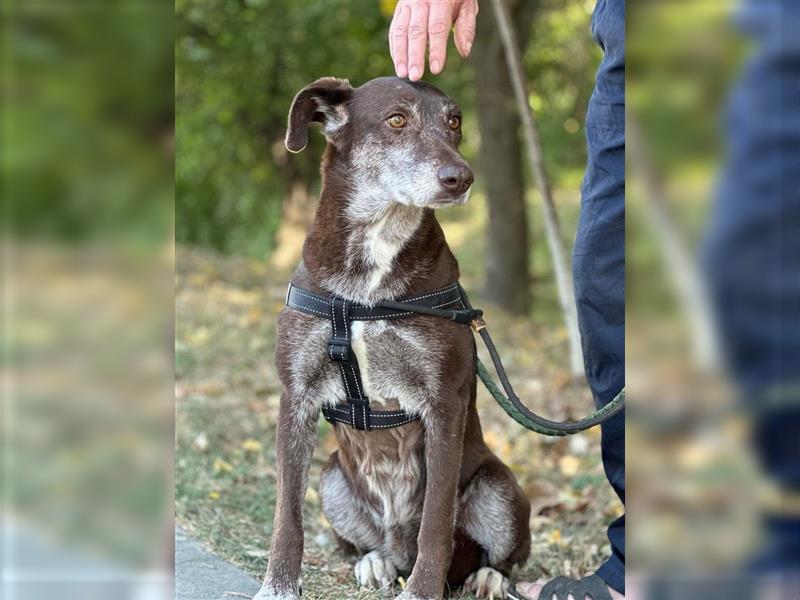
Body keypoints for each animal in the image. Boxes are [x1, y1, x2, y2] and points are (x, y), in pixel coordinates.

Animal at [253, 78, 532, 600]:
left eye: (454, 121)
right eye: (397, 120)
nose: (461, 178)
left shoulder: (444, 404)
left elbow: (437, 524)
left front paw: (421, 592)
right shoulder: (295, 395)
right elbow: (287, 515)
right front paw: (277, 586)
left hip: (499, 486)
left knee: (501, 554)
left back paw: (486, 576)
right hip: (332, 479)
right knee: (369, 543)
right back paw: (376, 562)